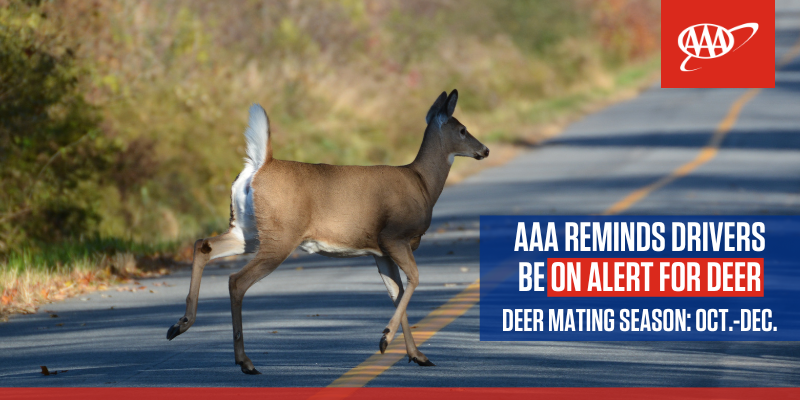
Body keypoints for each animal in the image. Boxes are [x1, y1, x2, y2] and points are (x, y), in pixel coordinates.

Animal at [166, 89, 489, 374]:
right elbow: (415, 280)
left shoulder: (379, 251)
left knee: (203, 245)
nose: (484, 149)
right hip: (280, 236)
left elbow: (396, 293)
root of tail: (260, 165)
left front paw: (417, 355)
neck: (422, 183)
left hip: (247, 231)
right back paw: (245, 362)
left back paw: (180, 325)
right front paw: (385, 339)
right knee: (236, 280)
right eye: (462, 130)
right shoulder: (394, 236)